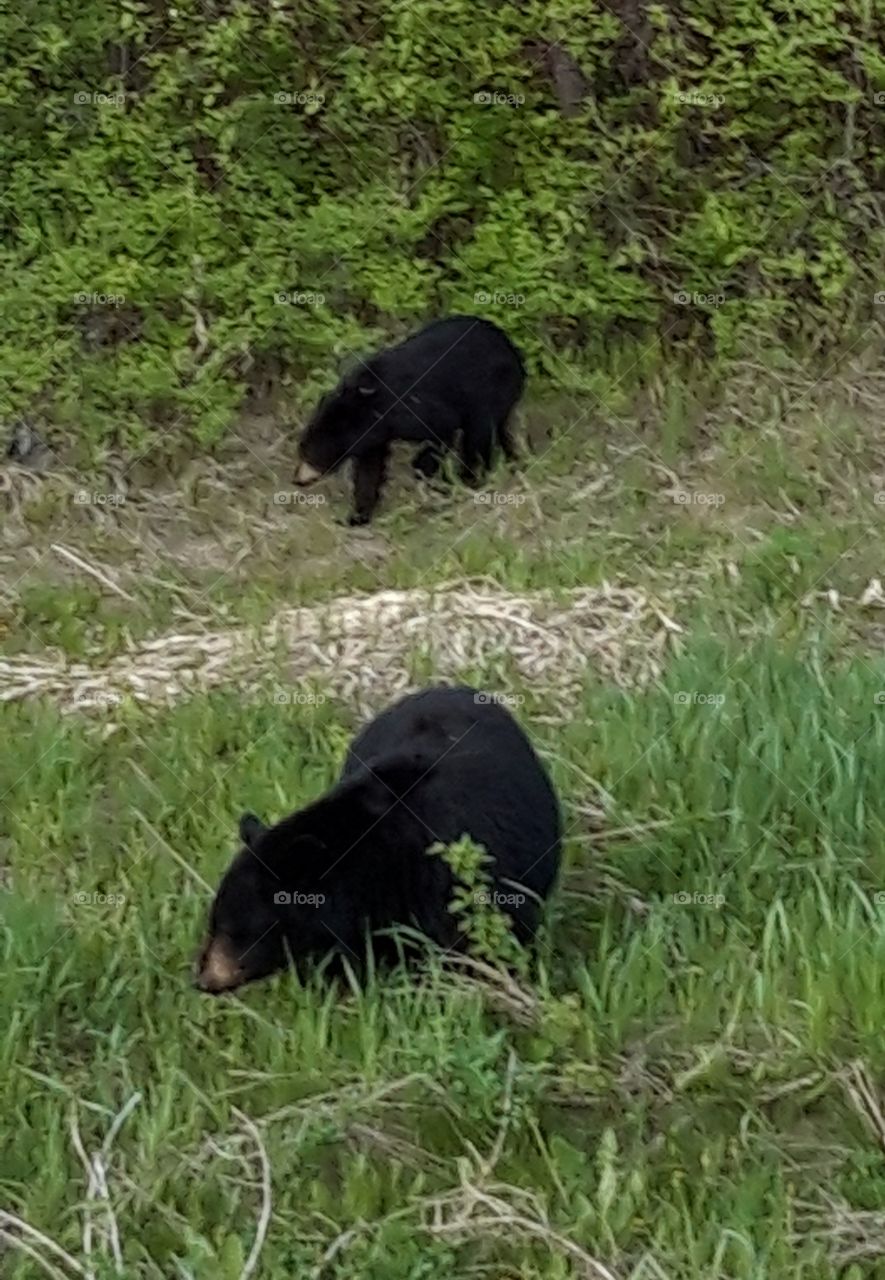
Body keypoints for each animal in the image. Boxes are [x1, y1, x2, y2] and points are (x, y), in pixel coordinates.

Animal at [293, 315, 526, 525]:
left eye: (308, 455)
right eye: (302, 450)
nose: (297, 479)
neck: (366, 408)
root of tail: (514, 351)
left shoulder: (415, 409)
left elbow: (441, 429)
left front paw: (425, 469)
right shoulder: (375, 436)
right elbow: (369, 470)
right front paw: (357, 516)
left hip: (491, 390)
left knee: (478, 436)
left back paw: (471, 479)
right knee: (500, 430)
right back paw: (514, 460)